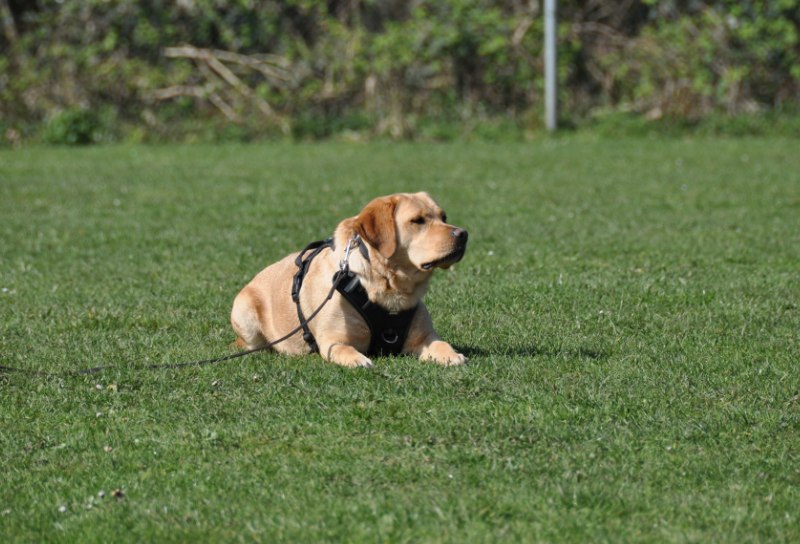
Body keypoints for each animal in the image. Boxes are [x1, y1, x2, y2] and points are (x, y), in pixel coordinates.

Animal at [231, 192, 468, 368]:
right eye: (417, 220)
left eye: (444, 217)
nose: (463, 233)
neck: (390, 288)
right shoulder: (333, 341)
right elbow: (345, 349)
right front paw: (358, 359)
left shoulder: (424, 337)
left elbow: (442, 344)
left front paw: (452, 355)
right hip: (244, 312)